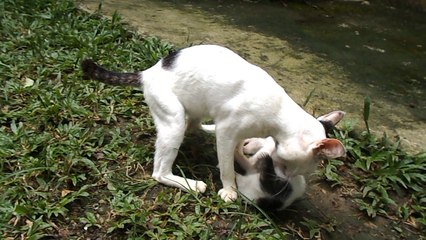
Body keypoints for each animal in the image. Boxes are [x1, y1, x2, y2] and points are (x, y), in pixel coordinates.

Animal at [80, 44, 346, 202]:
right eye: (289, 168)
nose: (284, 179)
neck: (279, 115)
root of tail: (148, 72)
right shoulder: (229, 131)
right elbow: (227, 166)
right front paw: (230, 189)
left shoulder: (236, 132)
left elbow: (238, 150)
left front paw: (246, 156)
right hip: (174, 119)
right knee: (159, 172)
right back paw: (190, 184)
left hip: (195, 108)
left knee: (195, 125)